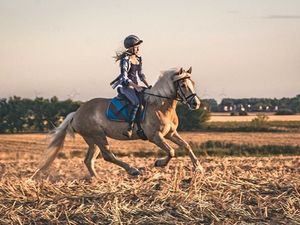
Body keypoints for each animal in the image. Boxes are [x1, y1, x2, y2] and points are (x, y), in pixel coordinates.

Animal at [31, 66, 203, 178]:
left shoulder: (171, 133)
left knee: (89, 160)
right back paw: (132, 170)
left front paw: (199, 167)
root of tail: (77, 113)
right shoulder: (156, 137)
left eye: (193, 83)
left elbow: (186, 146)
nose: (196, 104)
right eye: (183, 85)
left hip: (92, 140)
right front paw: (159, 163)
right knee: (108, 156)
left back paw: (98, 180)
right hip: (98, 136)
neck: (160, 105)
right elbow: (171, 151)